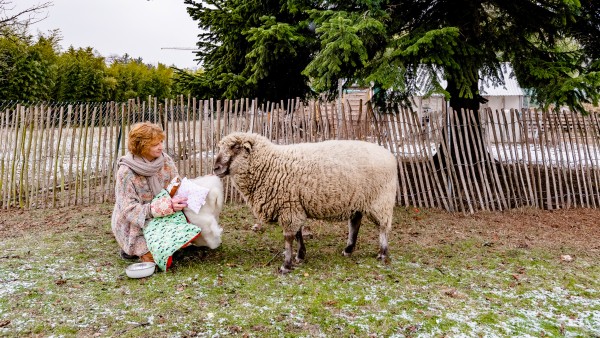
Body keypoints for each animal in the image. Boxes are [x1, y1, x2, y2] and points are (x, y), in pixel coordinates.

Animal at [212, 132, 398, 274]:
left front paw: (286, 265)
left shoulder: (288, 206)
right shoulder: (294, 205)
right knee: (355, 223)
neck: (269, 164)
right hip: (358, 201)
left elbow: (288, 237)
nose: (216, 168)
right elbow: (298, 234)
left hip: (380, 200)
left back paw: (383, 253)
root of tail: (390, 156)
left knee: (383, 227)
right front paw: (300, 256)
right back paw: (348, 250)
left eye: (235, 147)